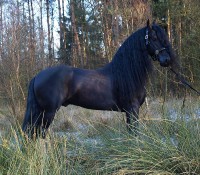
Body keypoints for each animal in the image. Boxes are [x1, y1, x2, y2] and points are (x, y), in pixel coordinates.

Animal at [22, 20, 177, 137]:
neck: (126, 72)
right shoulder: (132, 109)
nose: (167, 60)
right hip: (48, 112)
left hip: (39, 111)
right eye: (154, 38)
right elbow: (134, 133)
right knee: (38, 133)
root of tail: (37, 76)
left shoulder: (130, 111)